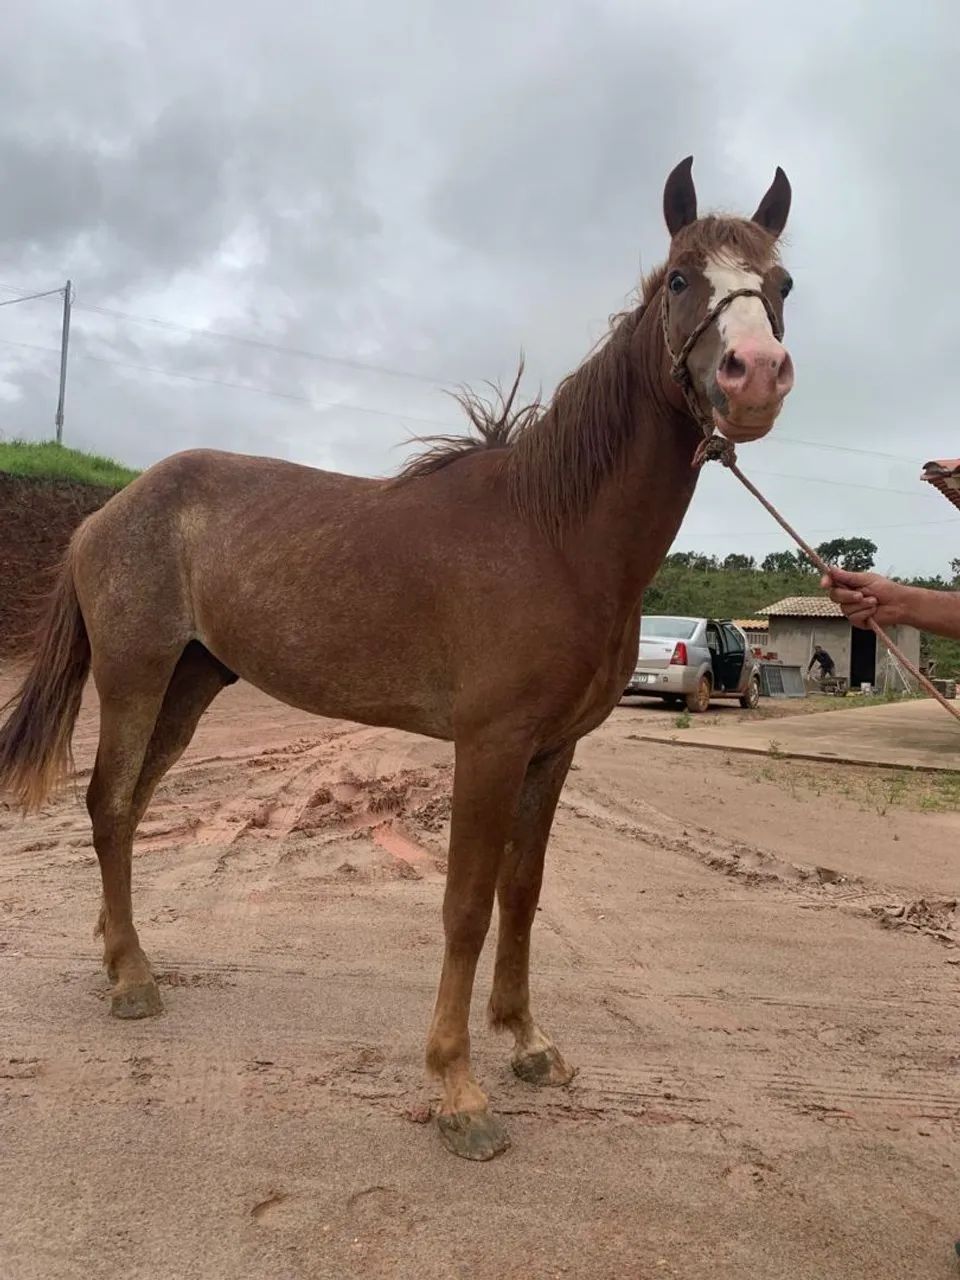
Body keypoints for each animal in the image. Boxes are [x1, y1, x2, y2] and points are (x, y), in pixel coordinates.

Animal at [0, 157, 793, 1161]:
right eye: (684, 277)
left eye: (782, 285)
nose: (755, 374)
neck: (555, 534)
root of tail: (109, 512)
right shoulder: (489, 747)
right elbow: (465, 903)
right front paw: (459, 1091)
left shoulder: (553, 750)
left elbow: (522, 893)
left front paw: (528, 1044)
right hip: (136, 677)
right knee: (107, 805)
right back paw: (134, 983)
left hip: (189, 686)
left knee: (131, 807)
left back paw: (119, 954)